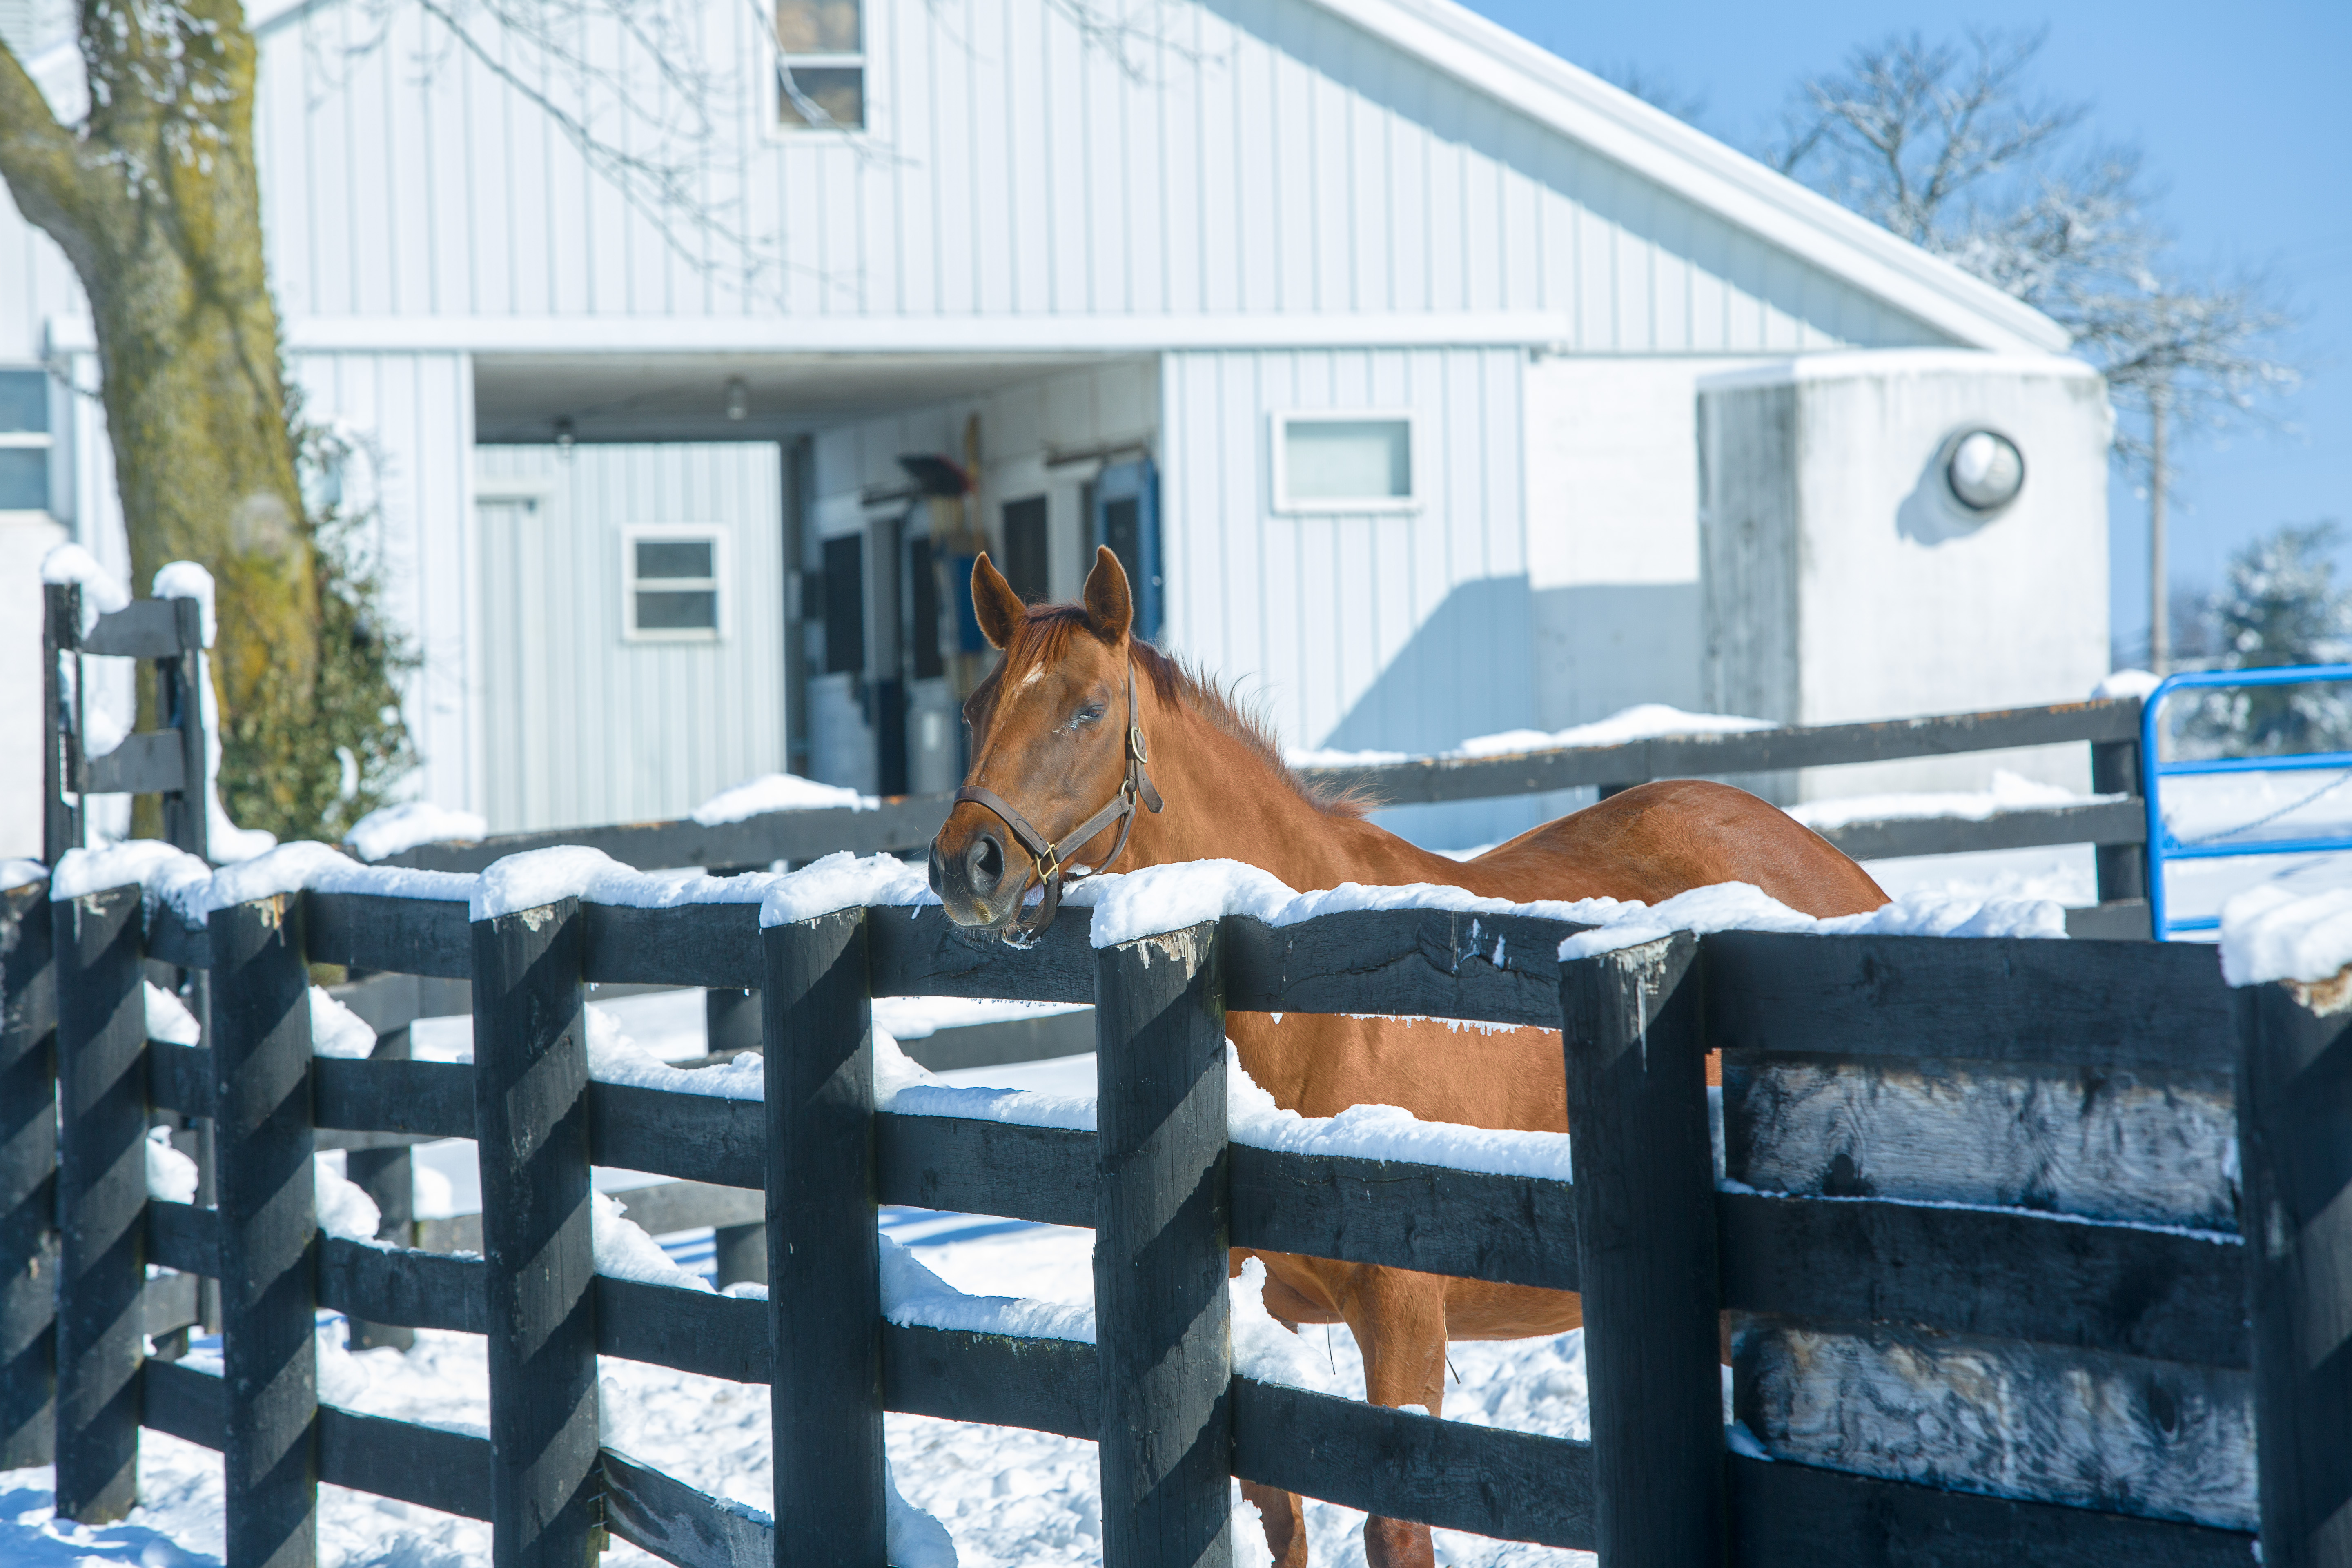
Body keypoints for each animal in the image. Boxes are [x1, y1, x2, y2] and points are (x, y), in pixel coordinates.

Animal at [927, 545, 1882, 1561]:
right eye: (976, 710)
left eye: (1088, 709)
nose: (966, 863)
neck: (1310, 1006)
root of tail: (1837, 872)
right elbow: (1282, 1517)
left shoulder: (1404, 1320)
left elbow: (1397, 1527)